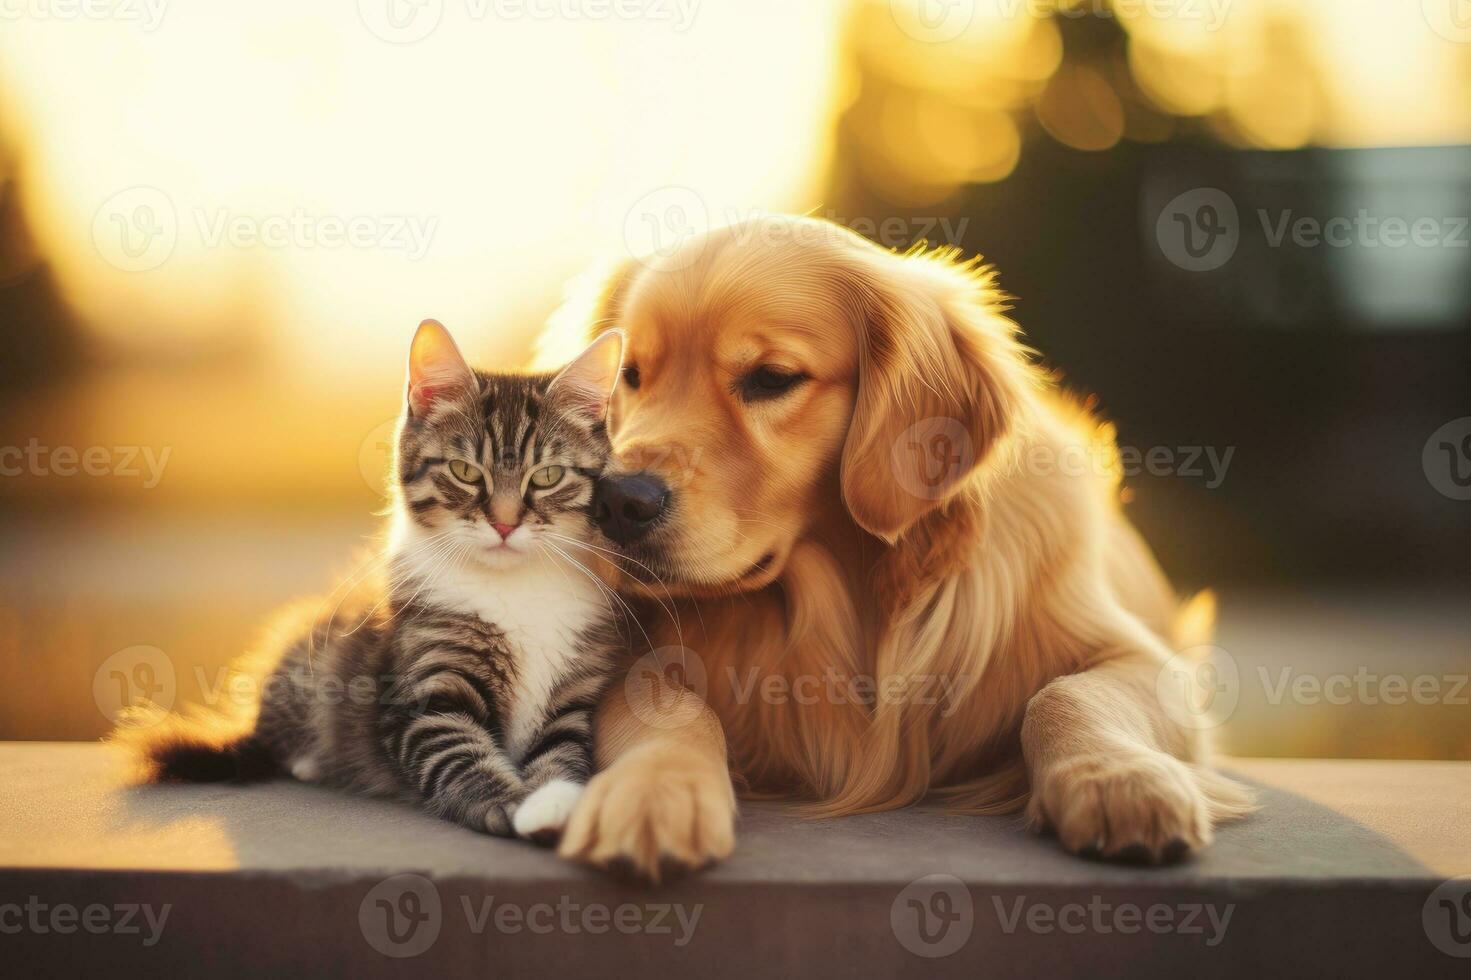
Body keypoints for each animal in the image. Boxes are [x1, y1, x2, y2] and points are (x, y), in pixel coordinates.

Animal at [123, 320, 629, 841]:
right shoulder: (421, 690)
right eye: (464, 471)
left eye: (547, 476)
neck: (513, 586)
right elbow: (457, 756)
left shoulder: (576, 686)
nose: (505, 524)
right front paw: (508, 804)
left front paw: (555, 803)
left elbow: (563, 748)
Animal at [541, 216, 1253, 876]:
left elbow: (1066, 694)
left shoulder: (1141, 658)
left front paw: (1120, 780)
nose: (618, 501)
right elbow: (669, 707)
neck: (839, 604)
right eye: (631, 375)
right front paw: (653, 791)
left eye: (771, 378)